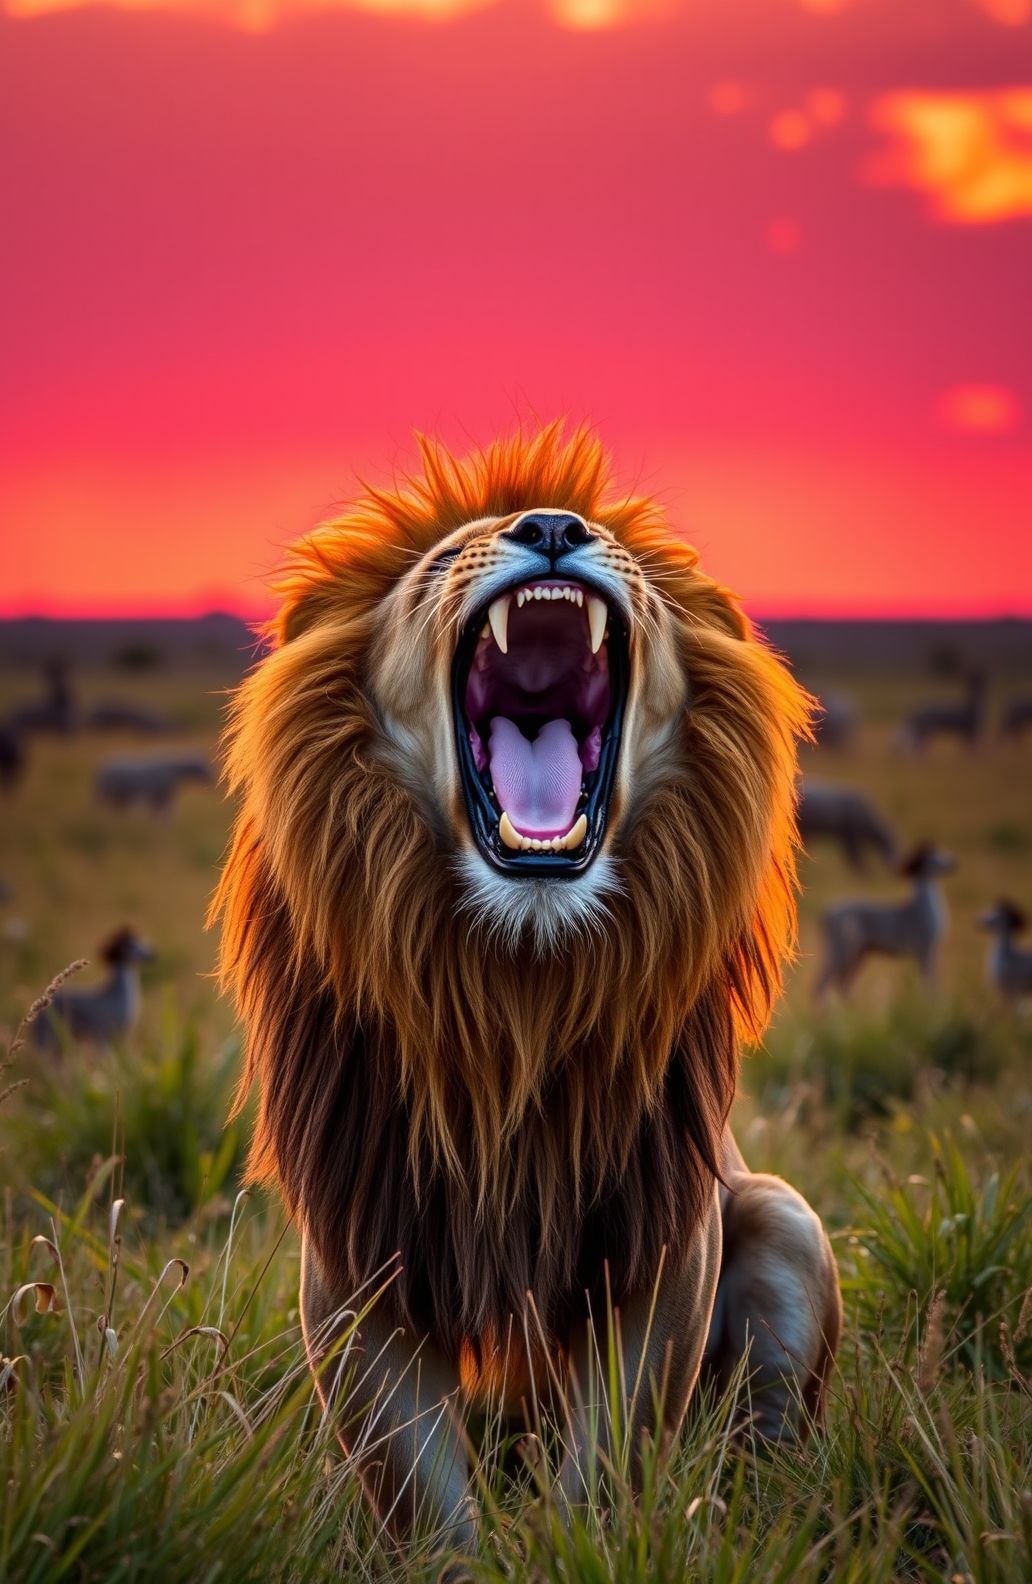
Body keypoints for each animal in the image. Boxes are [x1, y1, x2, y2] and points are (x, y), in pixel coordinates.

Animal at [213, 422, 841, 1548]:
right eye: (432, 566)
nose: (552, 525)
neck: (518, 984)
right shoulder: (360, 1252)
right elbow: (420, 1492)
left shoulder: (658, 1238)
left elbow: (613, 1453)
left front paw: (588, 1547)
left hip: (781, 1216)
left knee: (767, 1435)